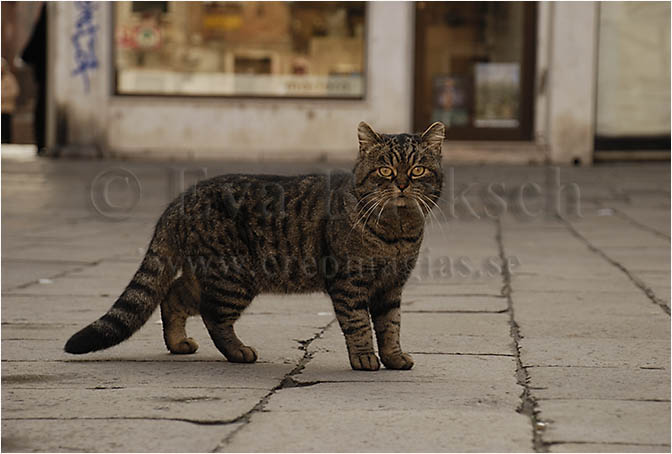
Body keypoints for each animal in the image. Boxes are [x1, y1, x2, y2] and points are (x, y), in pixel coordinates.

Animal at [65, 122, 446, 370]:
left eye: (417, 170)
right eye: (385, 171)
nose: (401, 184)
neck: (397, 231)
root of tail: (180, 199)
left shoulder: (391, 287)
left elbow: (391, 325)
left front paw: (394, 357)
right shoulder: (349, 285)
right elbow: (359, 324)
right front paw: (366, 357)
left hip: (208, 274)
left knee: (172, 295)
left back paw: (178, 344)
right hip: (233, 277)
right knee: (213, 316)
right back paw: (238, 352)